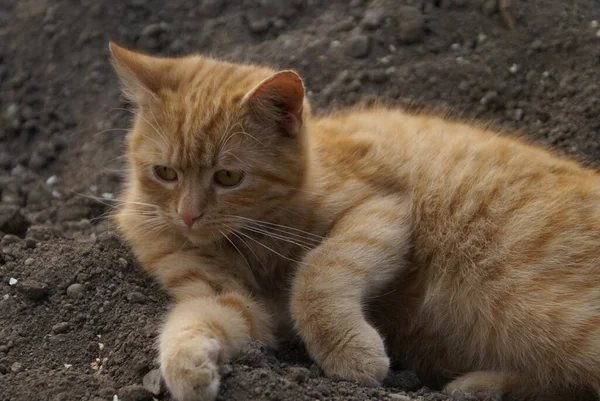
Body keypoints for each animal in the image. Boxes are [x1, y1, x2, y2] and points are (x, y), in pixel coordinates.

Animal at [108, 41, 600, 400]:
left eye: (228, 177)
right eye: (165, 173)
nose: (188, 216)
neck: (250, 237)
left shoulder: (378, 210)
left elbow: (317, 274)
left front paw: (349, 353)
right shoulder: (227, 297)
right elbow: (194, 317)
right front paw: (187, 366)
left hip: (525, 299)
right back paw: (481, 386)